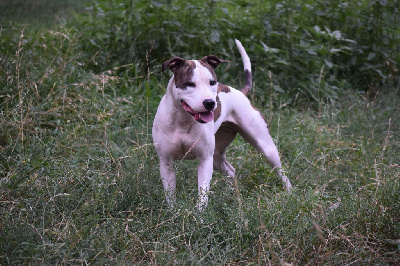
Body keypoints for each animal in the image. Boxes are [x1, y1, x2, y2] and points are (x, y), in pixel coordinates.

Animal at [152, 39, 290, 210]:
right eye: (189, 84)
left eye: (212, 82)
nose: (210, 103)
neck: (183, 120)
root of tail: (240, 92)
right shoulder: (166, 162)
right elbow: (170, 195)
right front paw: (173, 212)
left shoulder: (205, 160)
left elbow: (203, 193)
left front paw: (199, 214)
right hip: (217, 156)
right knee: (231, 171)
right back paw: (235, 196)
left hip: (266, 148)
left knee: (281, 171)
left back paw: (290, 193)